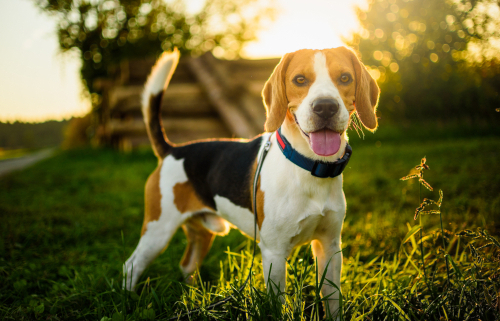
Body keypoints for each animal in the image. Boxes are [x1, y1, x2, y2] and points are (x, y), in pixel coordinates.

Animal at [124, 46, 378, 316]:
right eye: (300, 79)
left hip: (202, 233)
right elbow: (278, 305)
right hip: (157, 230)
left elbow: (332, 300)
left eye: (345, 78)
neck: (309, 167)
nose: (326, 107)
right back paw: (128, 302)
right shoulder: (274, 252)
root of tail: (172, 150)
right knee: (131, 266)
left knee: (187, 265)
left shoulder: (330, 247)